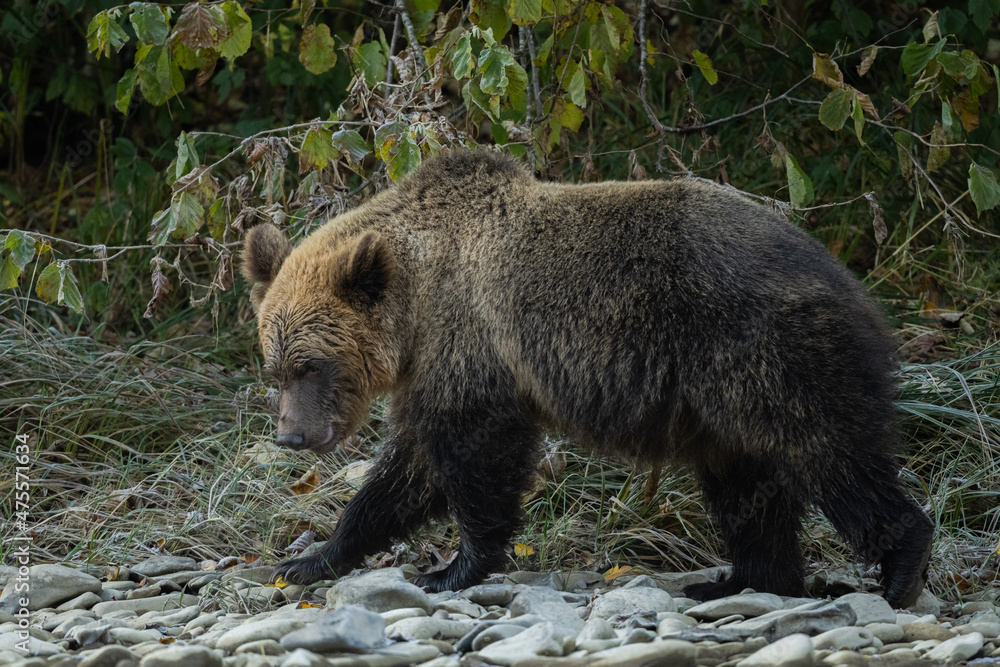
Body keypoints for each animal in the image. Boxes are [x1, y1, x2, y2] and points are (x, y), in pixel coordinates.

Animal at [242, 150, 933, 607]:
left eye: (312, 365)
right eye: (275, 368)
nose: (293, 437)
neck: (416, 299)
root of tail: (853, 284)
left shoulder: (472, 348)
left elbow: (472, 459)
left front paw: (451, 568)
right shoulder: (430, 369)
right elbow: (403, 475)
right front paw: (310, 558)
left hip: (764, 352)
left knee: (829, 452)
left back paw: (900, 566)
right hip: (727, 403)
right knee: (748, 485)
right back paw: (736, 580)